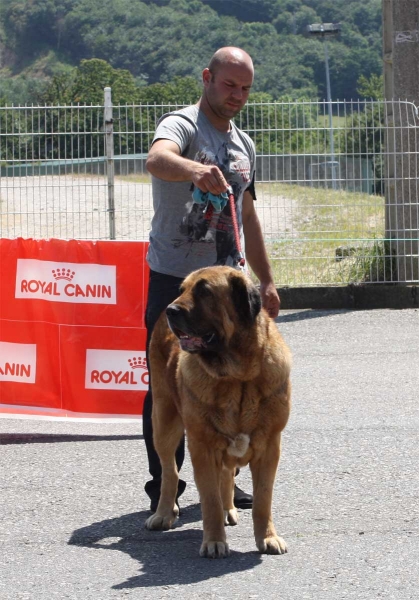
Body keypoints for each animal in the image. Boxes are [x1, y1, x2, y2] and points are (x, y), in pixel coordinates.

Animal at [144, 266, 292, 556]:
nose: (171, 310)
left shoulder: (270, 446)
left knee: (225, 474)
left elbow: (263, 499)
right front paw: (214, 542)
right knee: (169, 470)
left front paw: (268, 537)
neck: (237, 376)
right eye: (183, 290)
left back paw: (228, 508)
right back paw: (164, 513)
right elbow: (209, 499)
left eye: (204, 292)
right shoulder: (202, 446)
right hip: (163, 419)